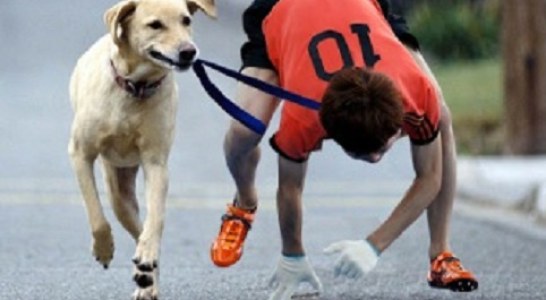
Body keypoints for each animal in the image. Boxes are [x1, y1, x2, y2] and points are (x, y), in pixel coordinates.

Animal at [67, 1, 214, 298]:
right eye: (155, 24)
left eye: (186, 20)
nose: (189, 51)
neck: (135, 89)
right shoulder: (80, 154)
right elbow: (96, 215)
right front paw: (104, 249)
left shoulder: (156, 163)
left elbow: (155, 218)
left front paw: (146, 259)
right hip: (117, 192)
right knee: (127, 220)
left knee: (143, 230)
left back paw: (146, 275)